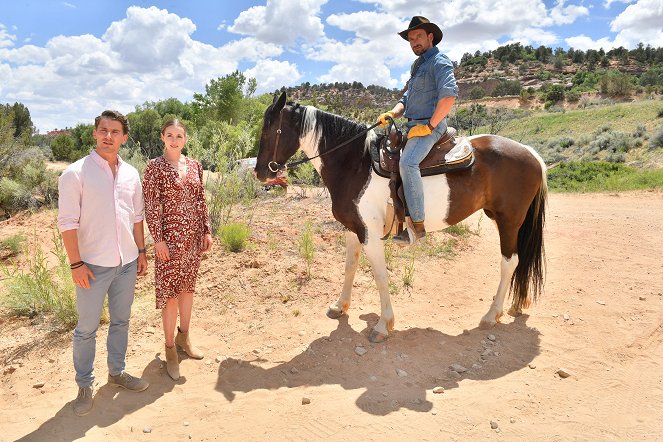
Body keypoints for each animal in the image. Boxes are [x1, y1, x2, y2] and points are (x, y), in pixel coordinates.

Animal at [256, 91, 548, 344]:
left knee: (509, 262)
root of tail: (531, 153)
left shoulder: (370, 234)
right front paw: (340, 306)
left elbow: (380, 275)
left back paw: (491, 315)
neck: (356, 164)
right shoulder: (353, 228)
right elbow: (350, 266)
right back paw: (514, 306)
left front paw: (383, 325)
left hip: (508, 220)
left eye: (270, 130)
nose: (261, 172)